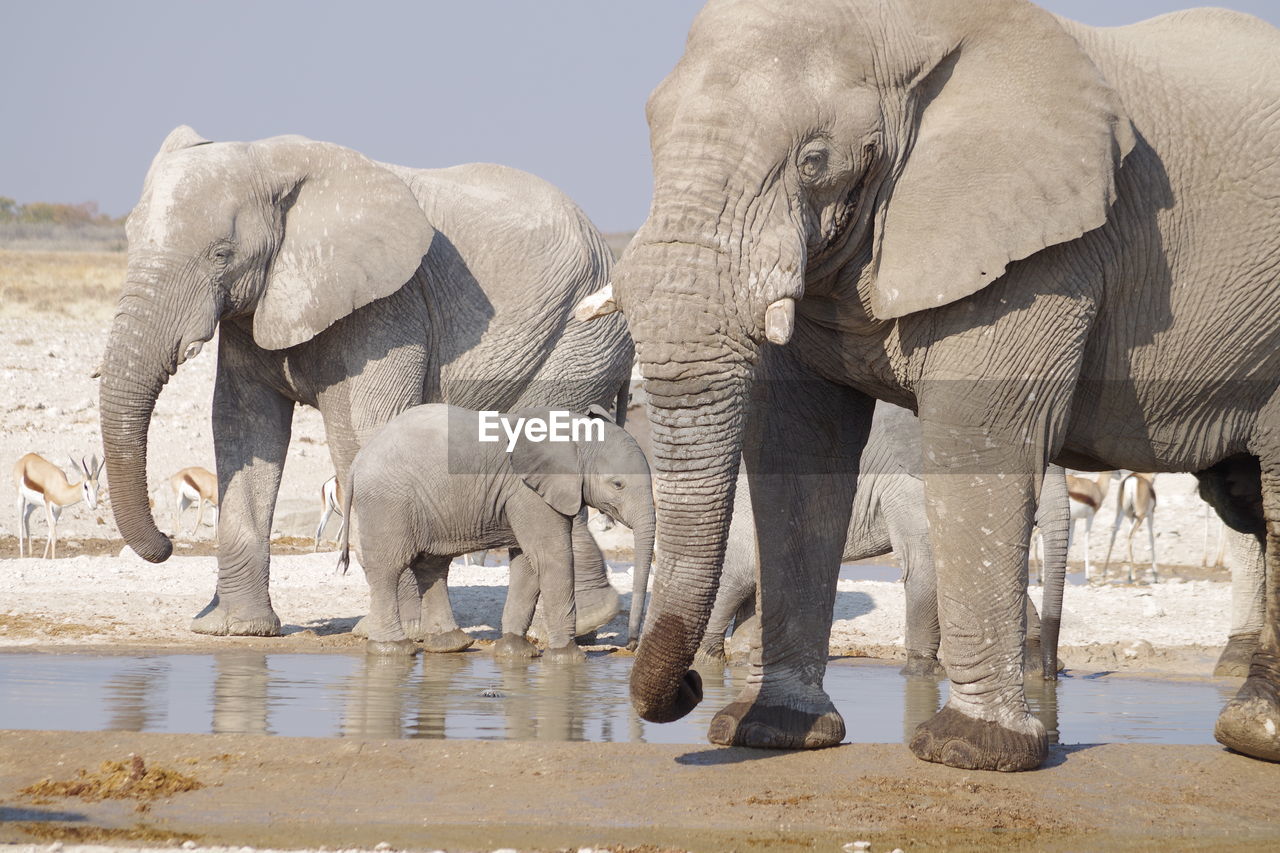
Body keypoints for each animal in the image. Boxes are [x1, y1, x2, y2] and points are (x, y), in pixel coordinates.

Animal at [102, 126, 632, 637]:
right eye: (128, 238)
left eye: (221, 253)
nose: (167, 544)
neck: (270, 159)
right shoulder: (258, 306)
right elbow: (241, 429)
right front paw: (234, 630)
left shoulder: (388, 306)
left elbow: (360, 434)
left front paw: (398, 632)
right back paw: (585, 624)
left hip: (578, 339)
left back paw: (582, 623)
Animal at [340, 402, 655, 660]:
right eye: (617, 484)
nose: (630, 646)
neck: (573, 432)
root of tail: (359, 459)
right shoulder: (528, 492)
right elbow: (551, 557)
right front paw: (567, 658)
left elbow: (528, 563)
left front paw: (516, 652)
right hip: (389, 501)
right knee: (389, 568)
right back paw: (393, 649)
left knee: (432, 565)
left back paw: (451, 645)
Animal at [578, 0, 1280, 768]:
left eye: (815, 160)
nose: (688, 691)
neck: (910, 28)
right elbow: (798, 443)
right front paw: (771, 732)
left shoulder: (1040, 249)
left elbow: (980, 443)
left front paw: (970, 749)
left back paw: (1253, 733)